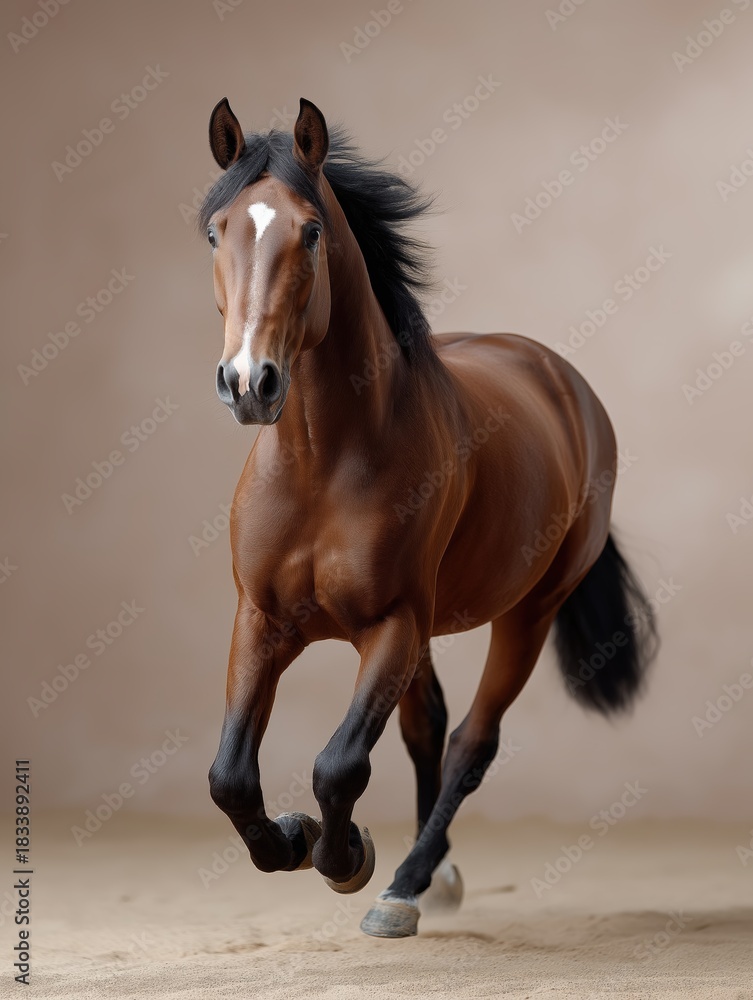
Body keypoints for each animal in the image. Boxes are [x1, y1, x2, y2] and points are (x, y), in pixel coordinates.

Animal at [200, 97, 658, 938]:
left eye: (309, 232)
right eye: (217, 232)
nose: (249, 382)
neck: (323, 461)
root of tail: (563, 382)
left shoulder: (392, 626)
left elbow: (340, 765)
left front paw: (344, 857)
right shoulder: (262, 622)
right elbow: (230, 778)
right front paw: (292, 838)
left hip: (527, 614)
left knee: (469, 742)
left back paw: (406, 883)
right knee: (428, 729)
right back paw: (430, 874)